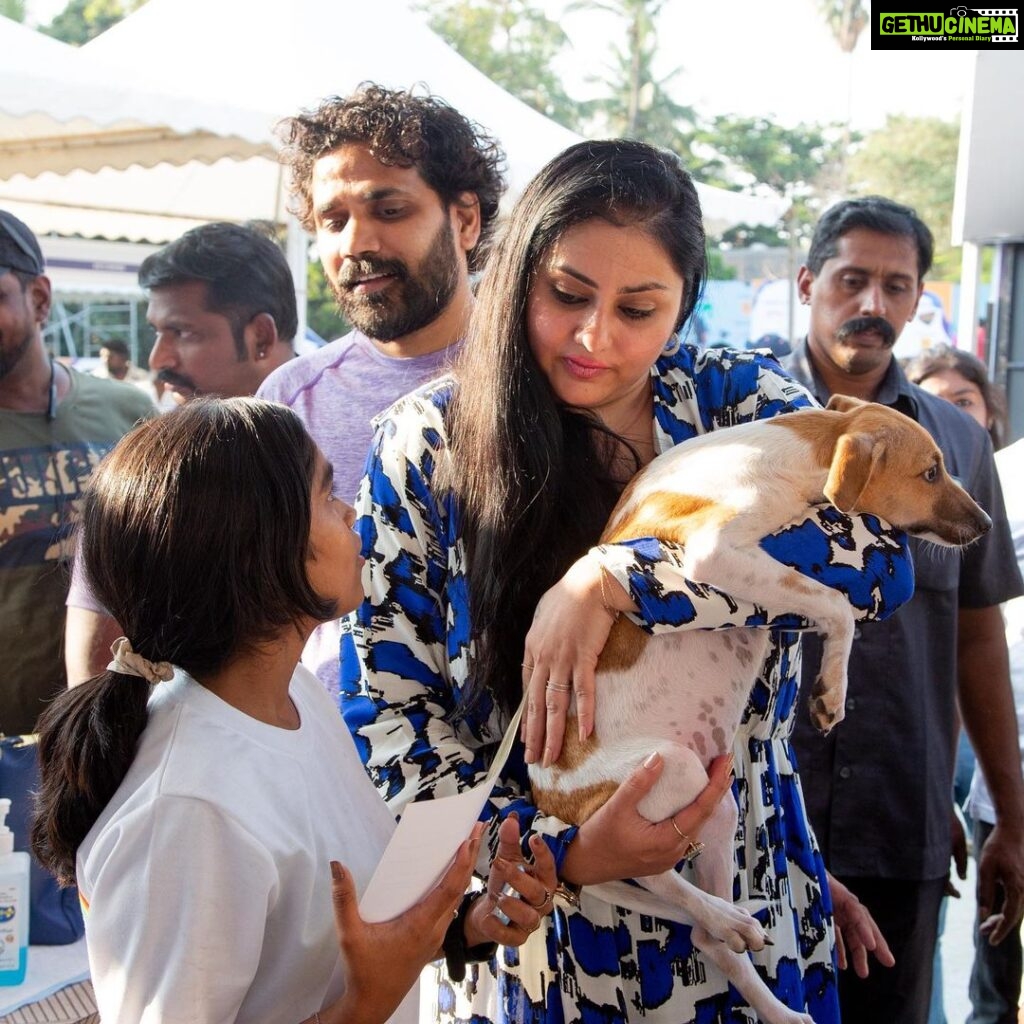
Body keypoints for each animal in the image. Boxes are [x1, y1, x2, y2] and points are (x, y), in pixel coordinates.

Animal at [532, 395, 987, 1024]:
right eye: (930, 472)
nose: (988, 525)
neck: (797, 453)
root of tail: (549, 801)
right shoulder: (715, 552)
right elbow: (835, 604)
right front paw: (831, 691)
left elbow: (827, 603)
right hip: (665, 773)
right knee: (647, 868)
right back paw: (724, 917)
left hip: (715, 803)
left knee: (708, 940)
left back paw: (769, 990)